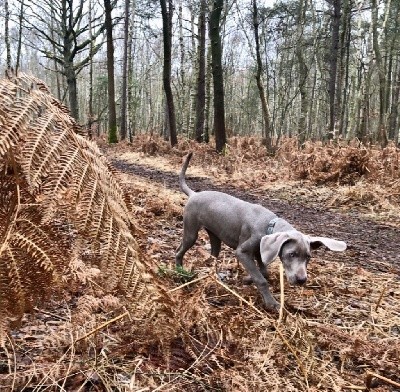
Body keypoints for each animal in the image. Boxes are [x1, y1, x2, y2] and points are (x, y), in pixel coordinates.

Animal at [176, 152, 346, 310]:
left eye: (308, 257)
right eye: (291, 254)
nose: (302, 280)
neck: (269, 225)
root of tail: (194, 194)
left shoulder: (262, 251)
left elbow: (263, 273)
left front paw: (247, 279)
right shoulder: (242, 252)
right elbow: (261, 279)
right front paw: (272, 303)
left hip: (215, 235)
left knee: (212, 257)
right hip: (191, 232)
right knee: (179, 251)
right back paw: (180, 270)